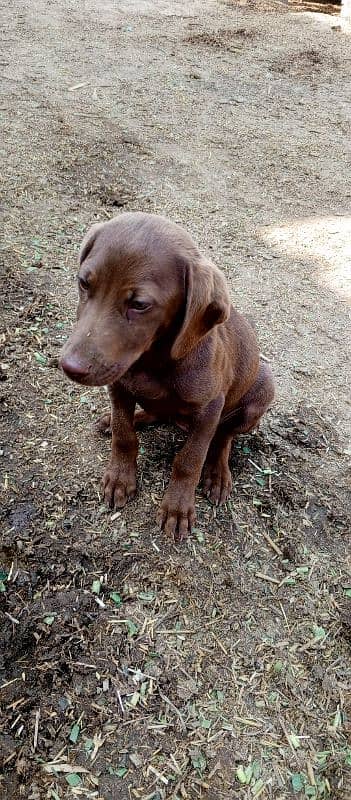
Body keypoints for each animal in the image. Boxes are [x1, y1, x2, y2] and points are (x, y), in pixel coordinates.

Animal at [59, 212, 276, 536]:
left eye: (139, 304)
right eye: (84, 283)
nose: (69, 366)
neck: (153, 361)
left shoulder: (210, 408)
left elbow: (189, 459)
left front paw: (177, 507)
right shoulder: (119, 386)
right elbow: (124, 435)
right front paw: (120, 477)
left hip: (261, 390)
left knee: (224, 436)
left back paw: (218, 472)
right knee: (156, 413)